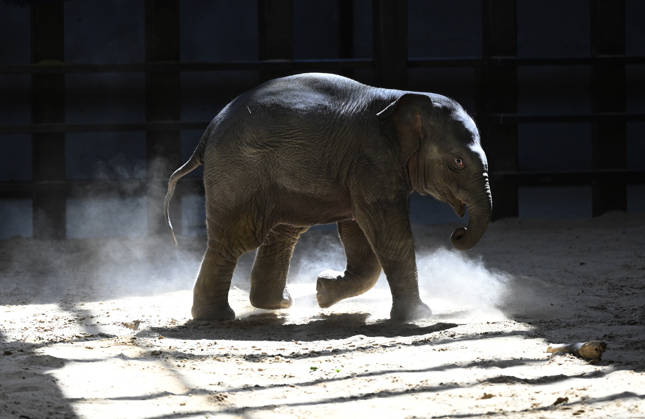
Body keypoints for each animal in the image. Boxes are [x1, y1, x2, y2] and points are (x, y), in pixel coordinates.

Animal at [164, 72, 492, 322]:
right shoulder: (372, 161)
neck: (401, 98)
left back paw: (278, 304)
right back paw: (217, 317)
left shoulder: (363, 170)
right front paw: (419, 316)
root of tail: (208, 131)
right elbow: (387, 232)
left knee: (283, 233)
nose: (457, 233)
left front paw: (323, 291)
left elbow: (360, 232)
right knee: (238, 239)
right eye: (458, 162)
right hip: (239, 171)